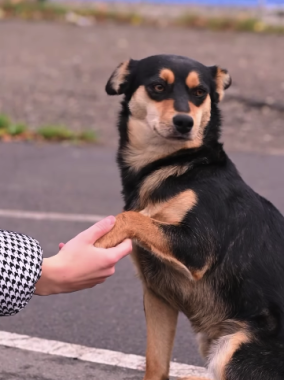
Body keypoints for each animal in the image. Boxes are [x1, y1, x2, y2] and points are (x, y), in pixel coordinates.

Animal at [95, 54, 284, 380]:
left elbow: (131, 217)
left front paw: (96, 243)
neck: (176, 165)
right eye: (158, 86)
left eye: (200, 93)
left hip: (235, 346)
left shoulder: (197, 249)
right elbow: (155, 363)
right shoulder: (157, 296)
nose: (185, 123)